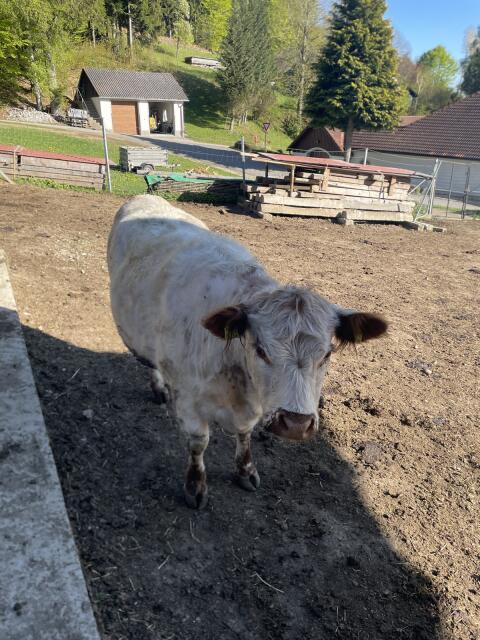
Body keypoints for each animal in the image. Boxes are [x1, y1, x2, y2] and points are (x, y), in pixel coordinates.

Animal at [108, 195, 387, 509]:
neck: (237, 382)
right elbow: (198, 443)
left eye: (327, 354)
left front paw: (245, 470)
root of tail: (143, 197)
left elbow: (244, 434)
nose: (296, 424)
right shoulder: (188, 402)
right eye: (260, 349)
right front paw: (195, 486)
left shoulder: (250, 409)